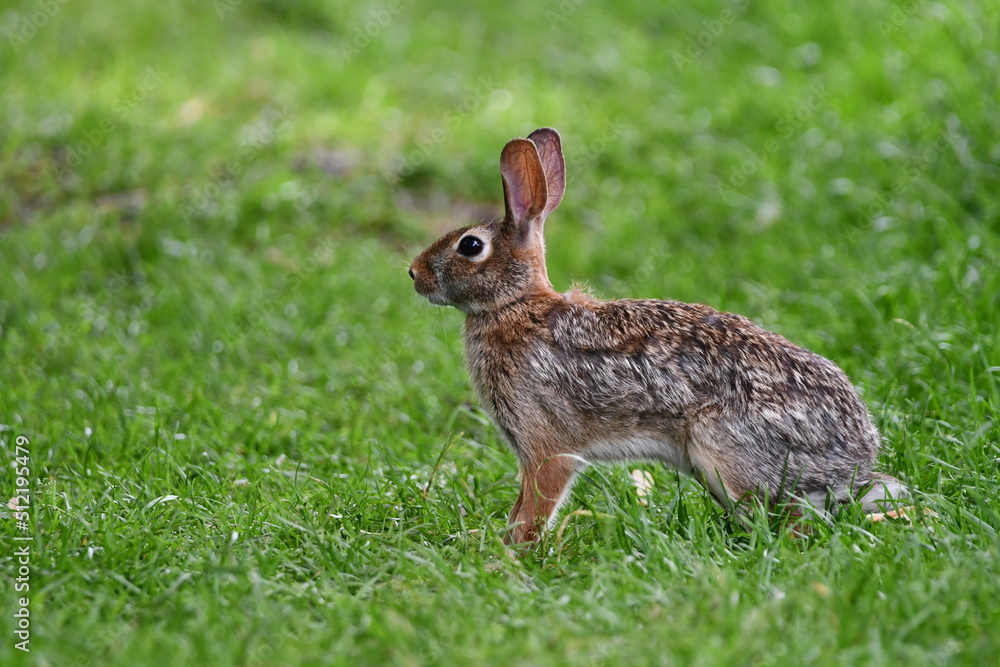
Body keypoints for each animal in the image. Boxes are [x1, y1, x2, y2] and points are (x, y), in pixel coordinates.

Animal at [408, 127, 907, 545]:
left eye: (471, 246)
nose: (413, 273)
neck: (516, 306)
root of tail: (856, 457)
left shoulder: (546, 446)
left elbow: (534, 506)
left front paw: (510, 552)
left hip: (725, 453)